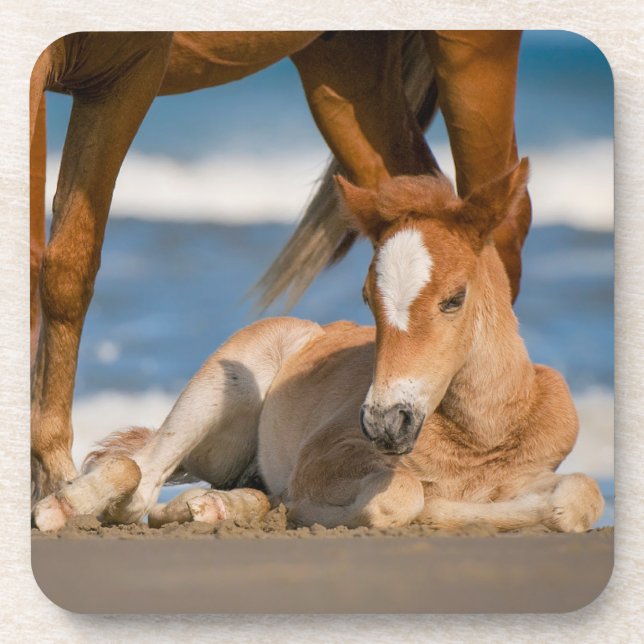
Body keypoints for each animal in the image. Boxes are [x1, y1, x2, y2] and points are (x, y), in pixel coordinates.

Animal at [30, 30, 531, 505]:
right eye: (365, 299)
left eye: (455, 299)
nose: (386, 425)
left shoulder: (127, 73)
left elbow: (62, 264)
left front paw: (51, 476)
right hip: (346, 76)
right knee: (414, 190)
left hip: (471, 53)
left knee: (501, 220)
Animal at [33, 163, 603, 534]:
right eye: (367, 297)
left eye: (454, 298)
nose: (384, 423)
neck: (482, 434)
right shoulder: (323, 457)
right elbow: (405, 495)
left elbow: (582, 496)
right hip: (226, 381)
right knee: (139, 479)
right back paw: (63, 508)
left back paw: (220, 507)